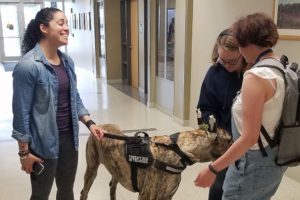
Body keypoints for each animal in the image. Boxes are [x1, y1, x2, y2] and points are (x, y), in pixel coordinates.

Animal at [80, 124, 232, 199]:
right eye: (230, 139)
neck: (178, 149)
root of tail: (98, 127)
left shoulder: (167, 197)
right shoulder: (146, 196)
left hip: (117, 170)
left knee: (112, 187)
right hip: (91, 170)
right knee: (84, 192)